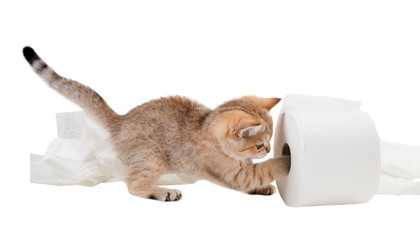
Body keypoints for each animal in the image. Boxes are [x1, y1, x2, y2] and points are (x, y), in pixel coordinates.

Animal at [23, 47, 290, 201]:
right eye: (259, 145)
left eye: (269, 141)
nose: (268, 149)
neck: (206, 126)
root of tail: (120, 119)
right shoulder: (234, 173)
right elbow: (263, 169)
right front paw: (285, 160)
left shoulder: (240, 173)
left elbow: (255, 176)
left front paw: (262, 187)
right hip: (152, 158)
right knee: (133, 184)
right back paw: (162, 191)